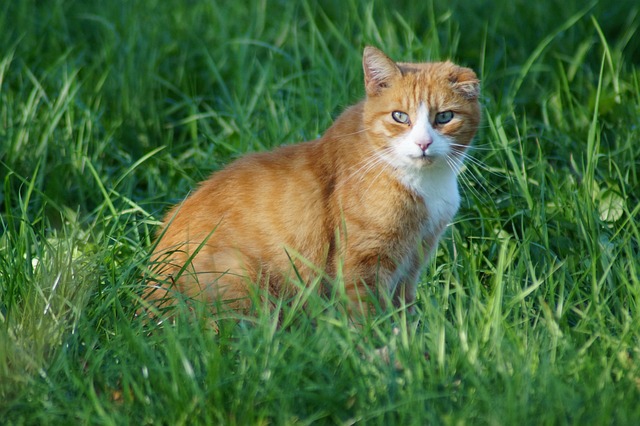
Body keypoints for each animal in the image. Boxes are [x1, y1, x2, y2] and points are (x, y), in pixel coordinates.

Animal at [142, 46, 478, 320]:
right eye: (400, 116)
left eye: (444, 117)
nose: (423, 143)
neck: (426, 184)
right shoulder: (362, 262)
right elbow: (366, 315)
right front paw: (380, 349)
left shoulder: (413, 259)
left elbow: (404, 310)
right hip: (239, 274)